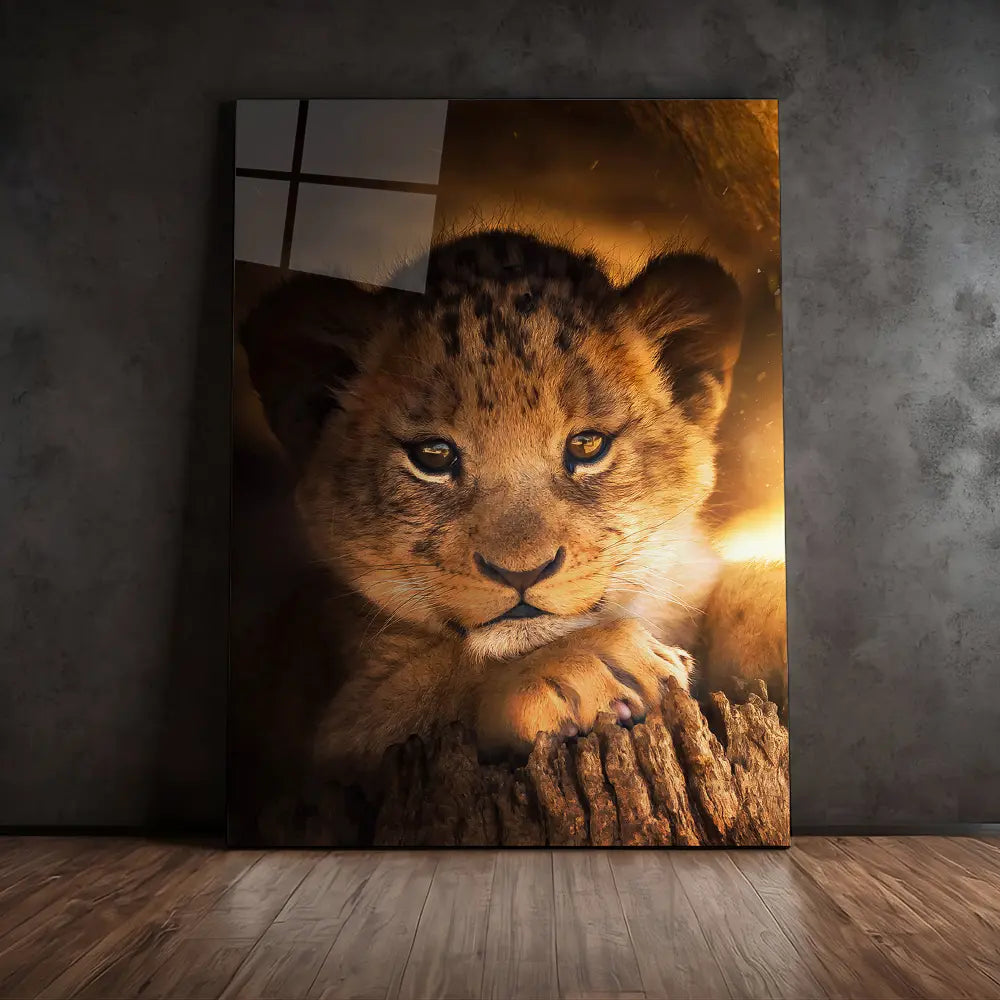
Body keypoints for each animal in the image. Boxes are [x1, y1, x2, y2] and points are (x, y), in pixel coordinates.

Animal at [232, 230, 787, 828]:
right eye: (433, 455)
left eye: (587, 445)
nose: (522, 572)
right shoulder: (325, 745)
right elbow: (434, 684)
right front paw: (587, 667)